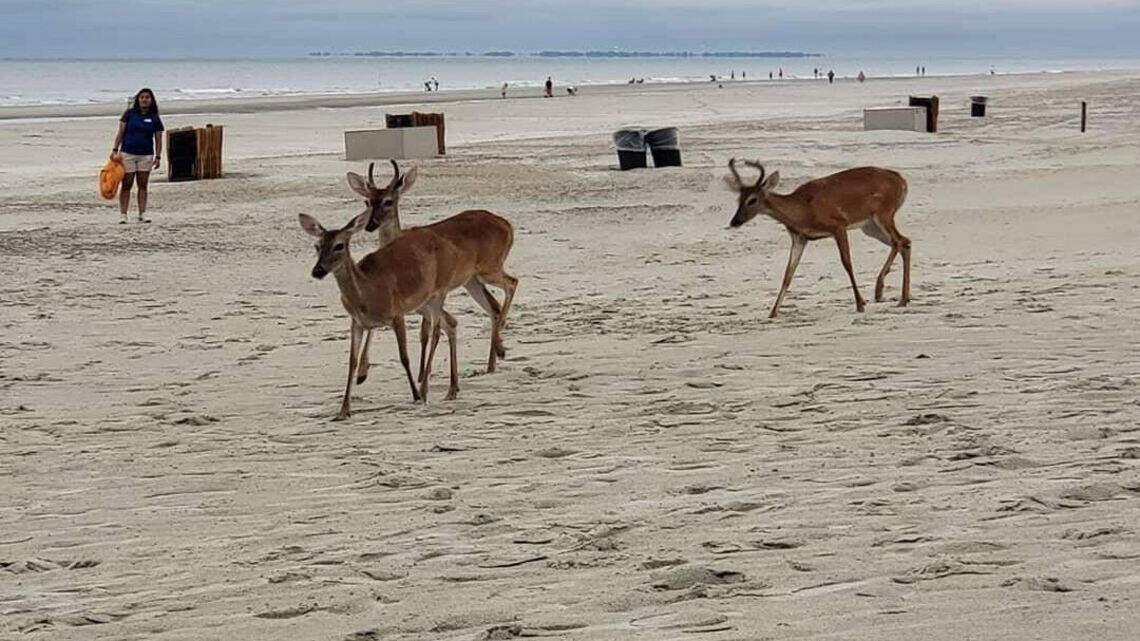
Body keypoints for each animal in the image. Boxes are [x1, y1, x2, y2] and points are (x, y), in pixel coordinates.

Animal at [299, 211, 477, 419]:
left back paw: (424, 390)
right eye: (317, 246)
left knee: (437, 331)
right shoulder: (356, 322)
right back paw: (452, 389)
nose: (317, 271)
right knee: (451, 323)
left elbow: (404, 356)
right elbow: (352, 361)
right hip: (422, 303)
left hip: (439, 290)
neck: (367, 294)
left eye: (339, 245)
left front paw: (415, 396)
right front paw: (344, 410)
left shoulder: (397, 313)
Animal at [344, 161, 518, 383]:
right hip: (471, 280)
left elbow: (424, 332)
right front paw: (362, 372)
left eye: (388, 201)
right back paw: (492, 362)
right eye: (367, 202)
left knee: (511, 284)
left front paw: (420, 375)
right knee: (493, 306)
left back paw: (498, 350)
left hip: (490, 267)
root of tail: (507, 225)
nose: (371, 224)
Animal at [725, 159, 911, 318]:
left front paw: (860, 304)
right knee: (903, 242)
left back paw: (893, 296)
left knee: (900, 241)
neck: (803, 209)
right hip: (869, 226)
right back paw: (893, 295)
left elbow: (847, 263)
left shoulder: (838, 225)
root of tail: (900, 179)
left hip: (884, 213)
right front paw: (773, 312)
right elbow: (788, 275)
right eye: (739, 199)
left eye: (752, 200)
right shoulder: (799, 238)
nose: (735, 221)